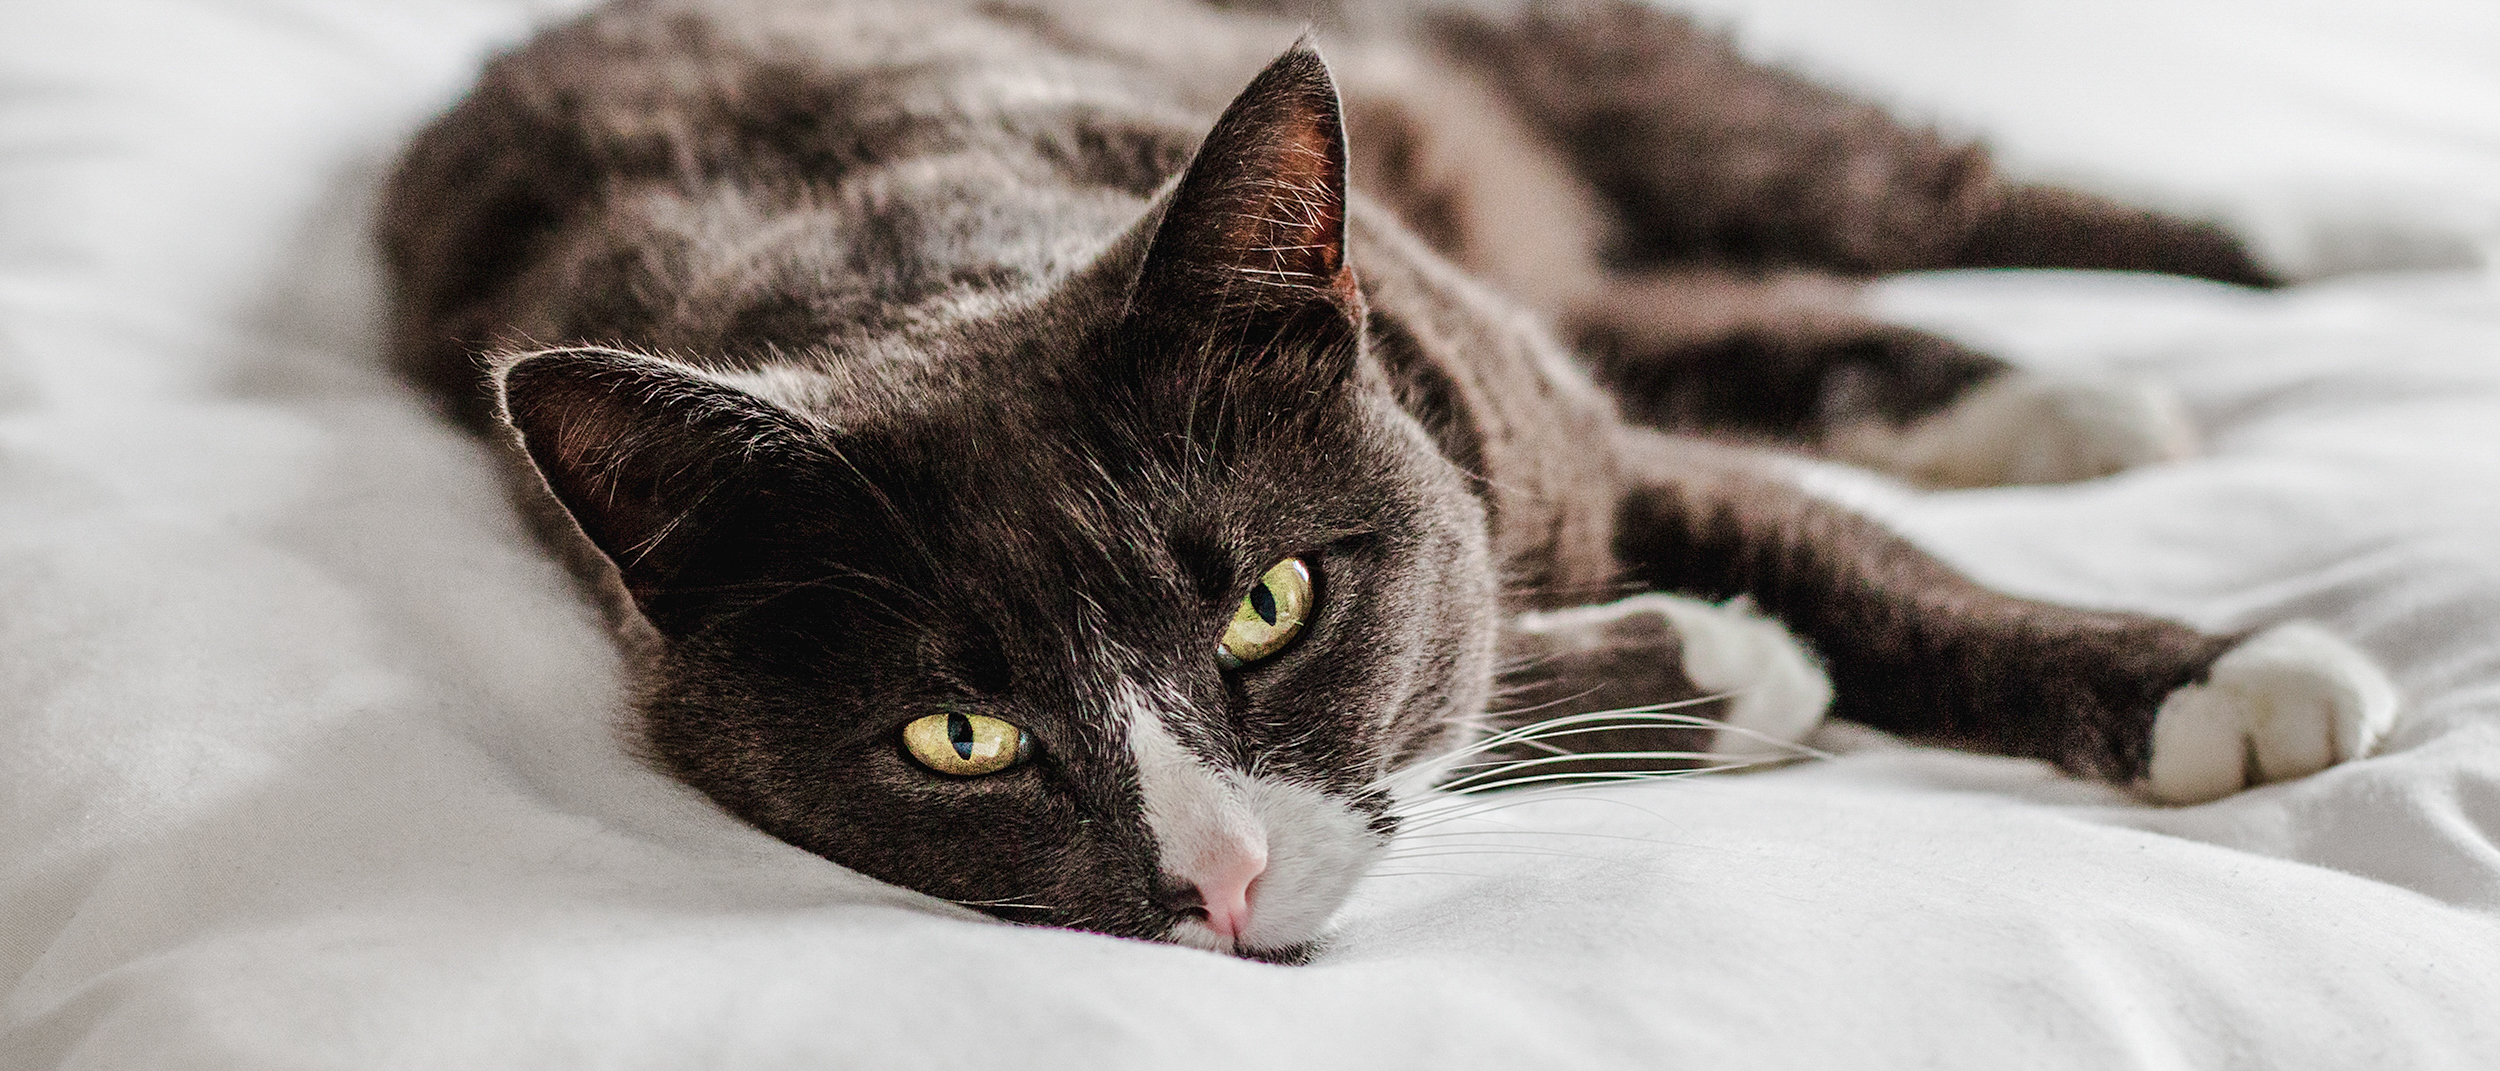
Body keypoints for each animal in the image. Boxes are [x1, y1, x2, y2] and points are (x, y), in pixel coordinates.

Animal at [375, 0, 2400, 960]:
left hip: (1634, 97)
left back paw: (2308, 245)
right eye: (960, 735)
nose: (1224, 879)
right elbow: (1526, 644)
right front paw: (1722, 662)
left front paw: (2218, 676)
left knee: (1909, 188)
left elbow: (1844, 556)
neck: (910, 249)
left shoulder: (1533, 420)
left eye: (1271, 604)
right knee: (1689, 306)